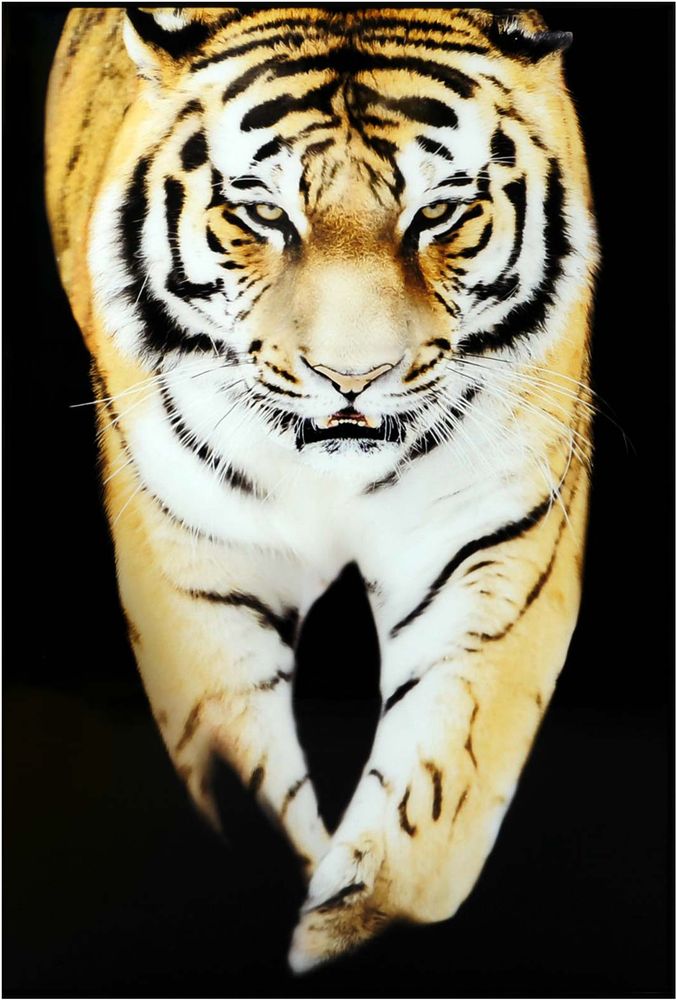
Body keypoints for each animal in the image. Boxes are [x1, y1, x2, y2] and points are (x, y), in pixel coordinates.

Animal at [45, 5, 598, 971]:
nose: (353, 377)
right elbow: (240, 770)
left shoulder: (493, 554)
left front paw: (345, 926)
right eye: (265, 213)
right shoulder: (198, 571)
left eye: (438, 211)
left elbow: (432, 800)